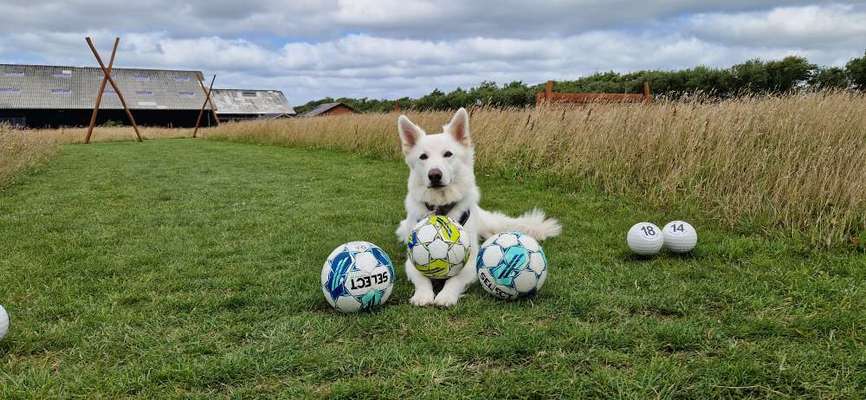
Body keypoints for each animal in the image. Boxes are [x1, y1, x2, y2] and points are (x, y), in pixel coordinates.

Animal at [396, 108, 560, 308]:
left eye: (448, 154)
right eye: (423, 157)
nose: (434, 175)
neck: (442, 207)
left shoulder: (472, 260)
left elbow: (455, 280)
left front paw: (446, 296)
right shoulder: (411, 260)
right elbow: (421, 277)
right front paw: (423, 295)